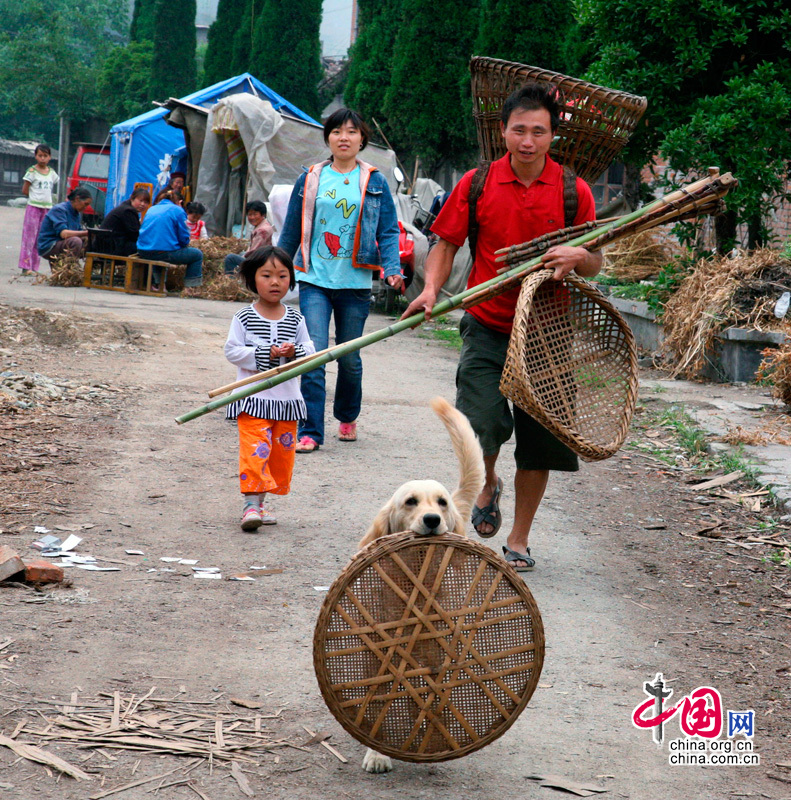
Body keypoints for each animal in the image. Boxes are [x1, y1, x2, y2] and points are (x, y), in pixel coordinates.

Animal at [358, 396, 482, 772]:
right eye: (410, 501)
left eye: (440, 502)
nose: (432, 519)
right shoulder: (379, 659)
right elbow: (378, 706)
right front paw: (378, 753)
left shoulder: (435, 656)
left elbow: (431, 699)